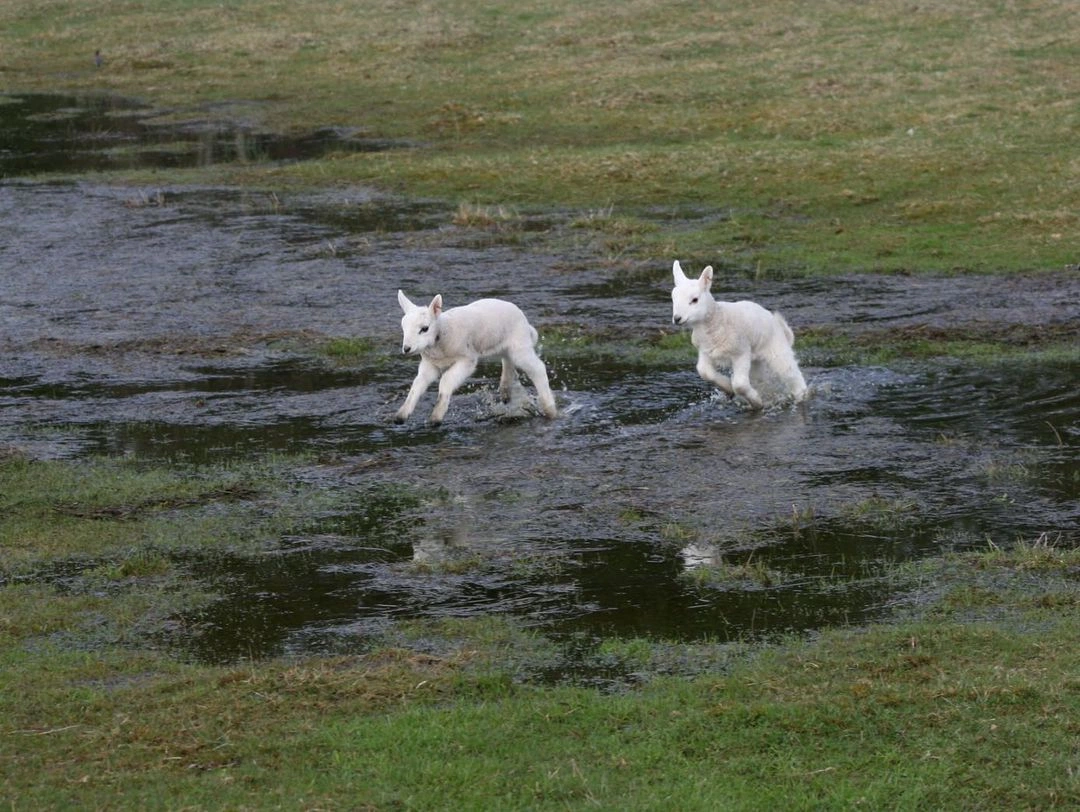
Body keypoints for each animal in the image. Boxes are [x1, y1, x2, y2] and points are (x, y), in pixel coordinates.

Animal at [393, 289, 557, 425]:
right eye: (403, 328)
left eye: (425, 328)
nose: (406, 349)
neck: (440, 337)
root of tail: (525, 322)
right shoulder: (430, 364)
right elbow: (417, 385)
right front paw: (401, 415)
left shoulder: (467, 359)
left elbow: (446, 381)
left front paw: (436, 417)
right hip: (503, 345)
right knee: (508, 361)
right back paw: (505, 391)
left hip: (519, 344)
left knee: (537, 368)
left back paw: (550, 410)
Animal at [669, 261, 807, 408]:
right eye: (673, 299)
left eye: (695, 300)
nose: (677, 318)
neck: (716, 321)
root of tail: (777, 323)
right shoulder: (705, 351)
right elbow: (704, 372)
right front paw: (729, 388)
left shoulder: (741, 352)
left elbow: (739, 384)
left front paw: (756, 402)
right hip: (756, 360)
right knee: (760, 379)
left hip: (776, 349)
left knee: (791, 373)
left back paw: (801, 396)